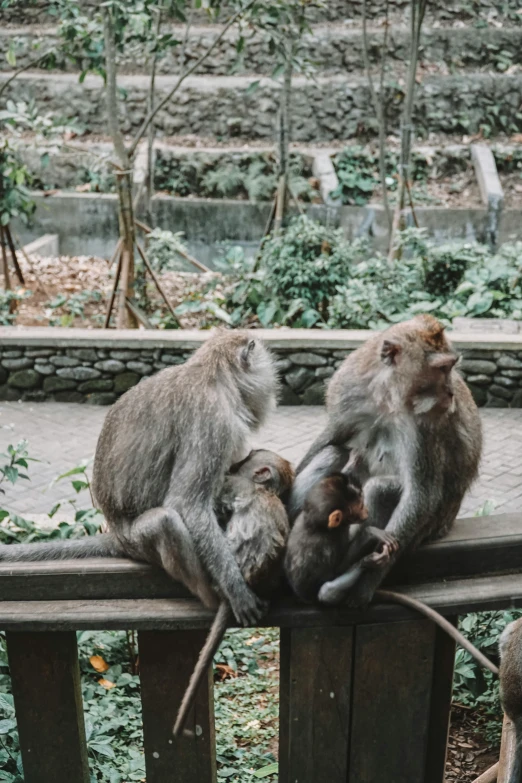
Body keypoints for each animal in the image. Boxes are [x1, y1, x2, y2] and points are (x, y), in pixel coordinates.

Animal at [0, 334, 278, 628]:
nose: (272, 390)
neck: (212, 374)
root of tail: (117, 536)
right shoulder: (214, 423)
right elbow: (187, 504)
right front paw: (236, 589)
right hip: (138, 541)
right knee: (166, 521)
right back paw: (211, 595)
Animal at [282, 472, 396, 608]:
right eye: (361, 506)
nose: (367, 510)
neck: (317, 525)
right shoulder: (331, 539)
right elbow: (338, 570)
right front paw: (371, 534)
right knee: (326, 591)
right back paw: (368, 562)